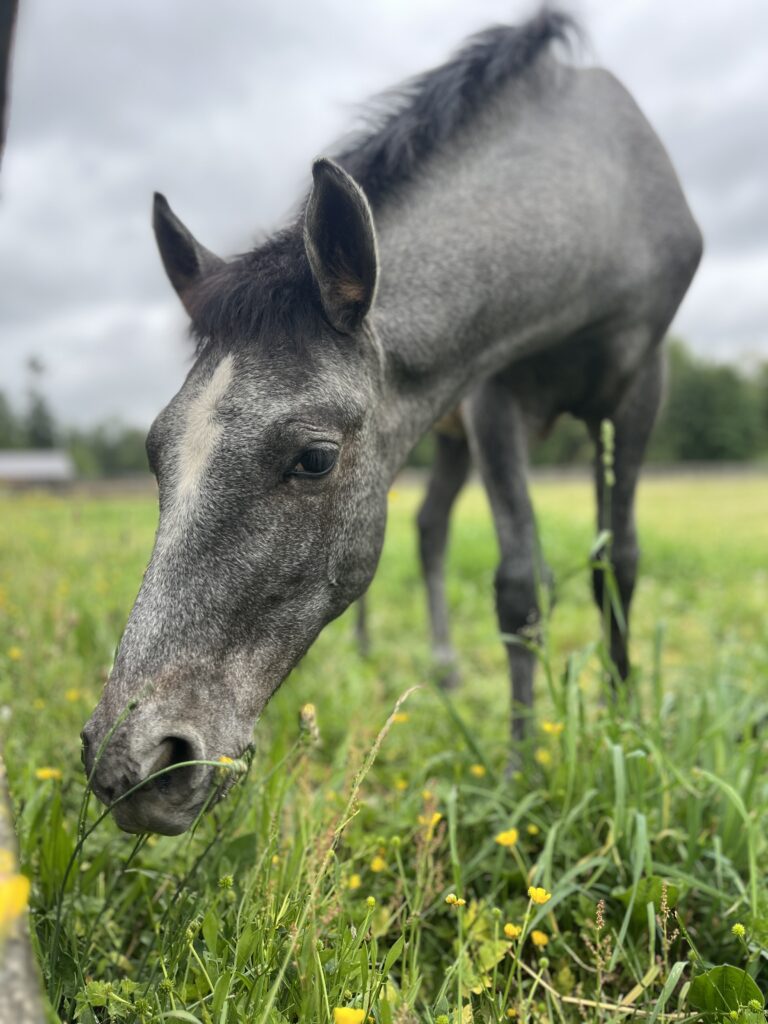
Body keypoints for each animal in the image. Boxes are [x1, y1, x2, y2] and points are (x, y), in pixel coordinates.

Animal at [82, 9, 702, 835]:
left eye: (314, 458)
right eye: (155, 452)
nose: (134, 761)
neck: (597, 198)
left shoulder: (638, 390)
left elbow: (617, 565)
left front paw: (622, 723)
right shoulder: (491, 393)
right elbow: (519, 585)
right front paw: (520, 771)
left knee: (433, 525)